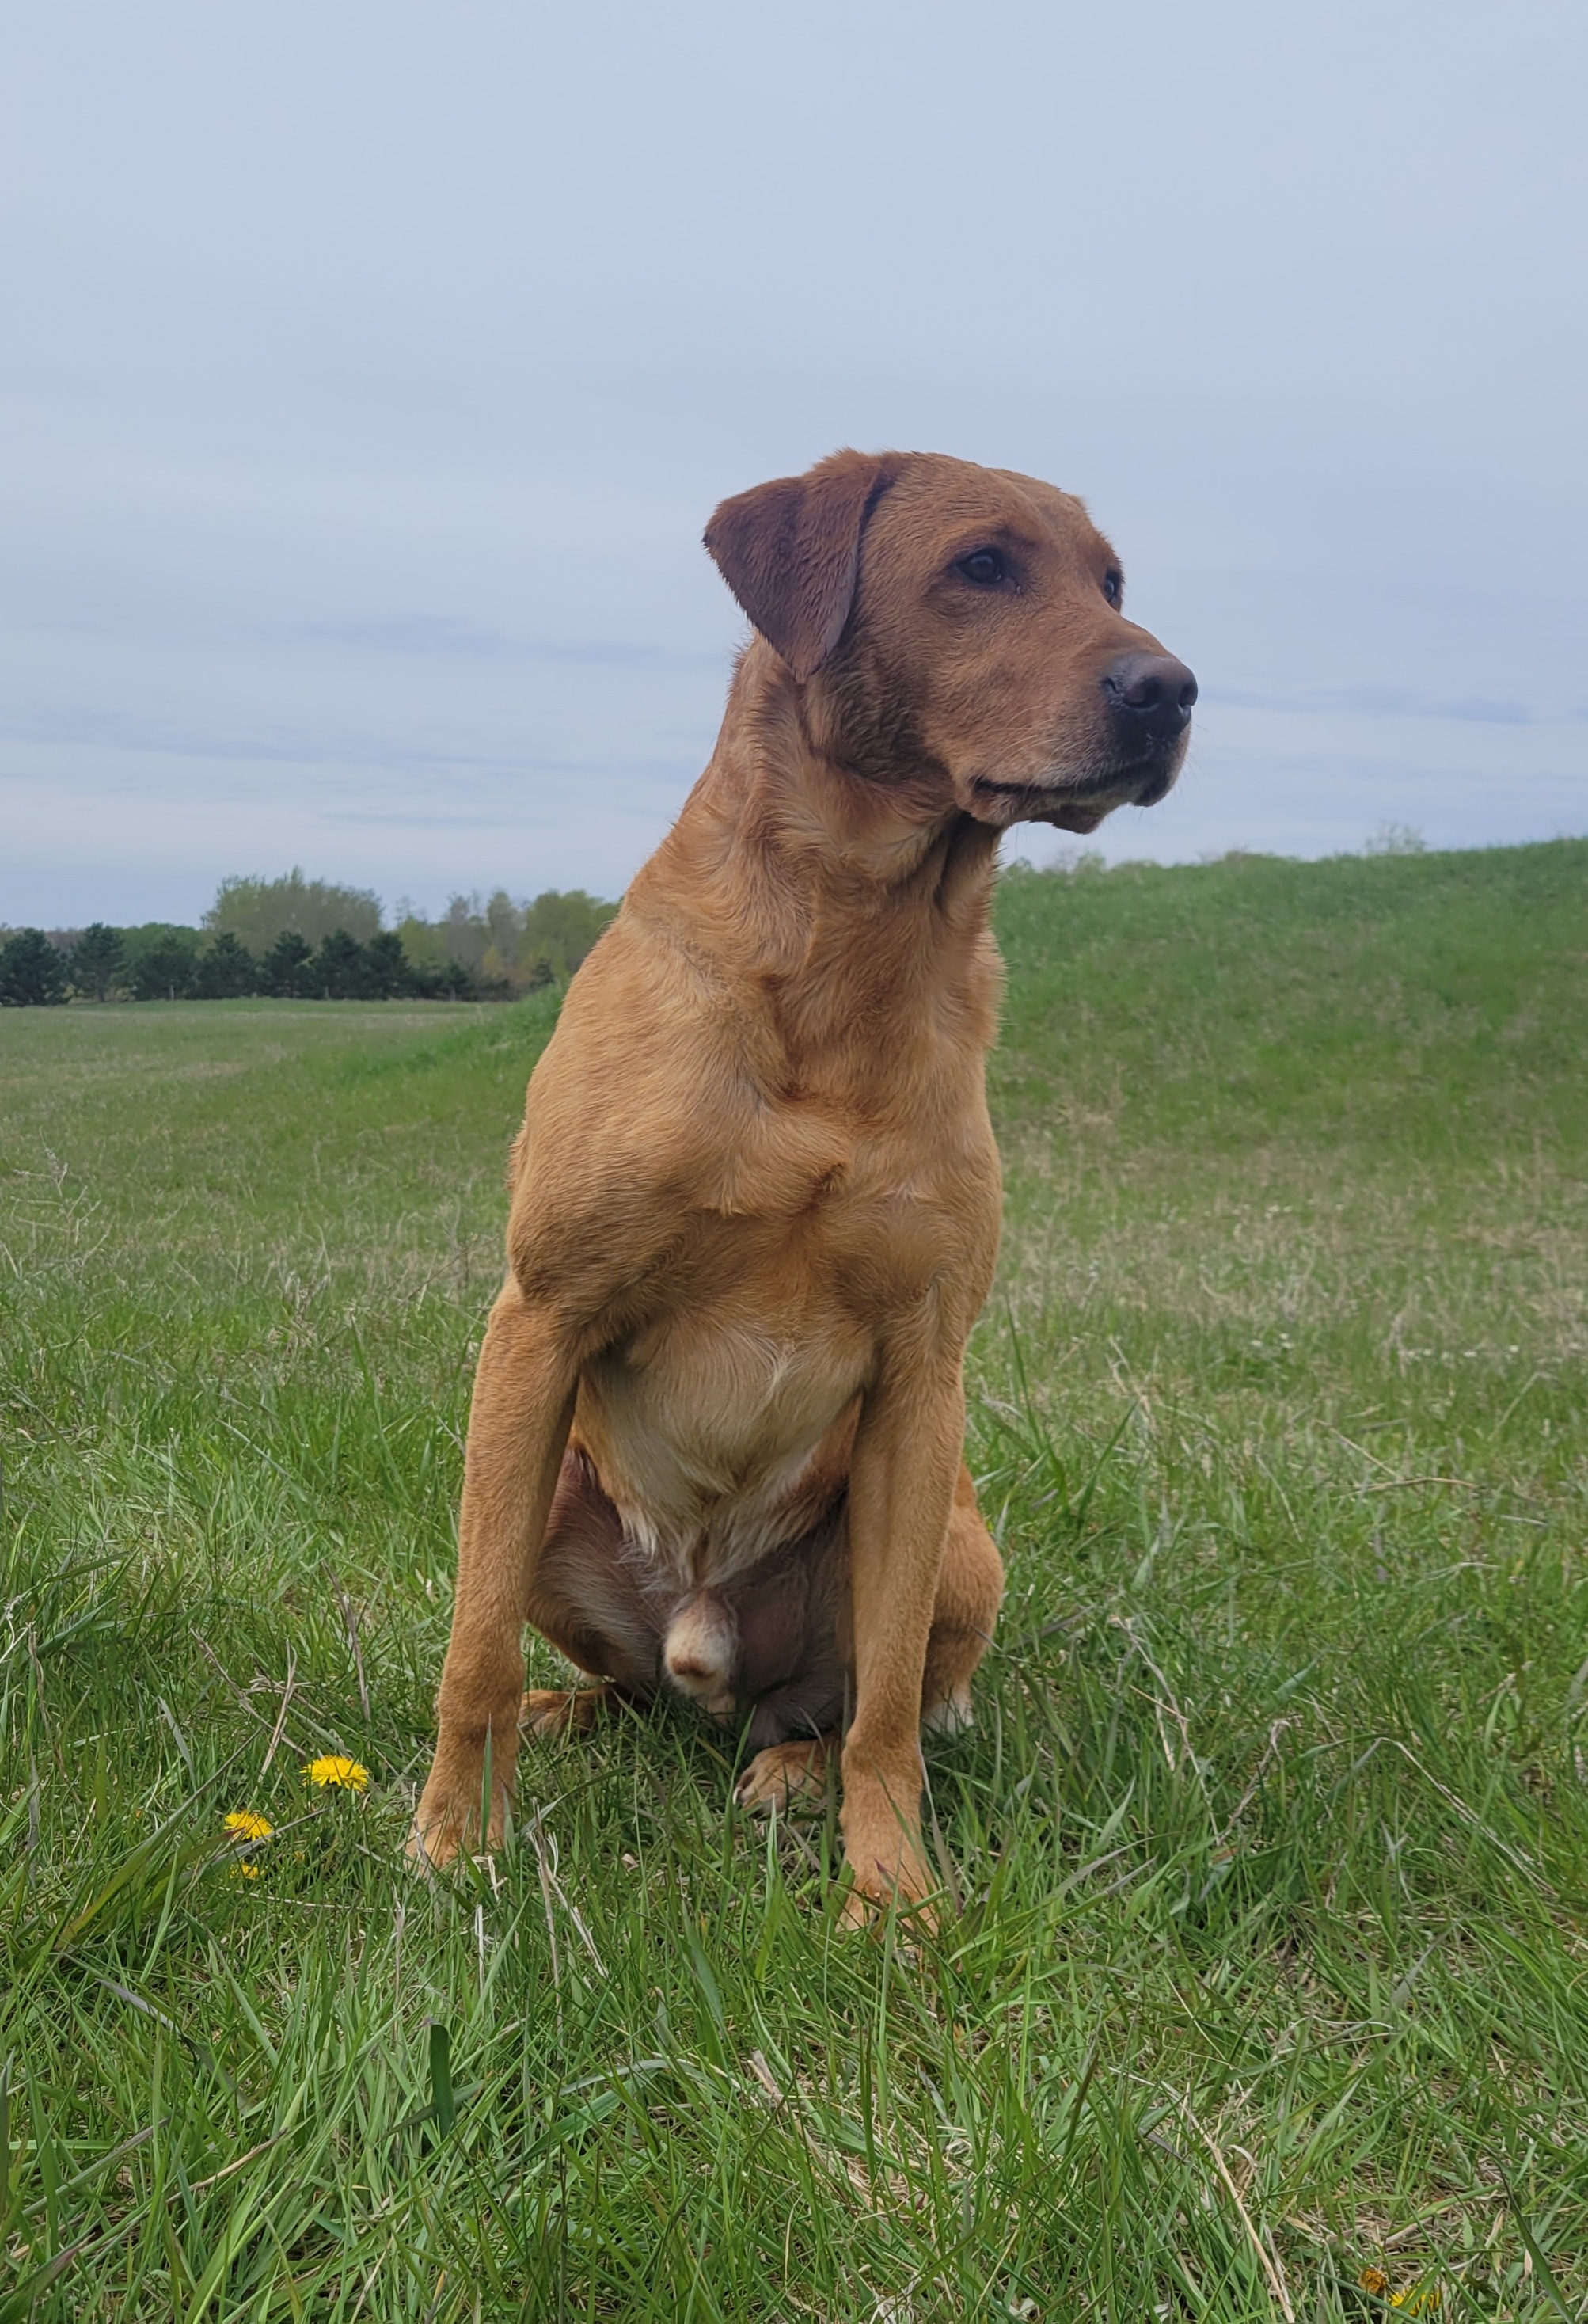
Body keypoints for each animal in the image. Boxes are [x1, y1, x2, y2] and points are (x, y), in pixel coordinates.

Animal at [408, 448, 1190, 1905]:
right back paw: (564, 1714)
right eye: (982, 565)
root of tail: (707, 1653)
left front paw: (893, 1889)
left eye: (1112, 581)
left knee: (862, 1702)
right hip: (540, 1479)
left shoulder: (922, 1376)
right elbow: (471, 1646)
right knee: (610, 1684)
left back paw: (791, 1771)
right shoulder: (535, 1323)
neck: (849, 959)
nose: (1170, 689)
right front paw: (454, 1839)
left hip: (956, 1536)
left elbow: (885, 1708)